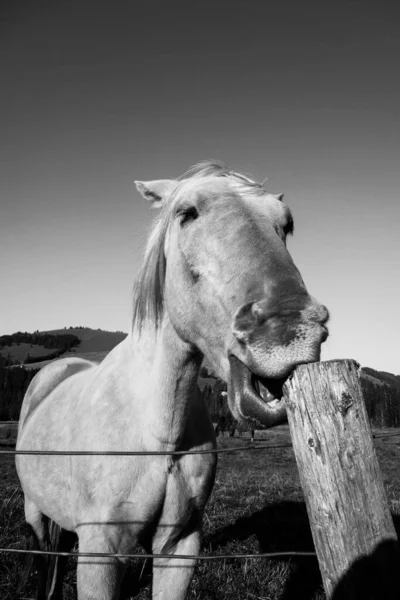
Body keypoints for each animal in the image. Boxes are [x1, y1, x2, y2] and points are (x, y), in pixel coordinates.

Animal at [15, 161, 328, 600]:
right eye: (187, 213)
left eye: (288, 224)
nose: (290, 334)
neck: (157, 430)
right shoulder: (98, 551)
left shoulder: (179, 546)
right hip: (35, 511)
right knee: (46, 558)